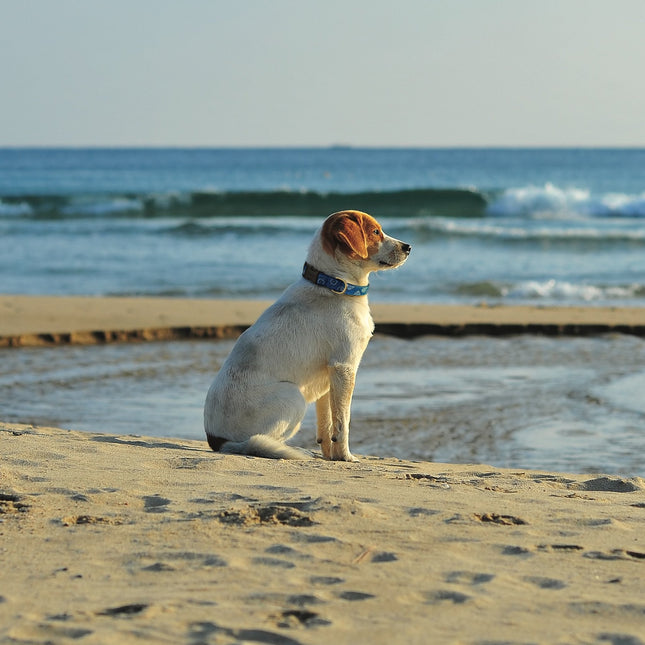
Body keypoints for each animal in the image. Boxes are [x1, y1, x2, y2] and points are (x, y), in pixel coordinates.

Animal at [204, 210, 410, 458]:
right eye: (375, 232)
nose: (408, 247)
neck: (333, 284)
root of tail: (217, 441)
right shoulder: (344, 367)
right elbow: (342, 422)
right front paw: (345, 457)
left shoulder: (328, 377)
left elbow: (327, 424)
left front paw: (330, 457)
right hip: (293, 397)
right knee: (261, 441)